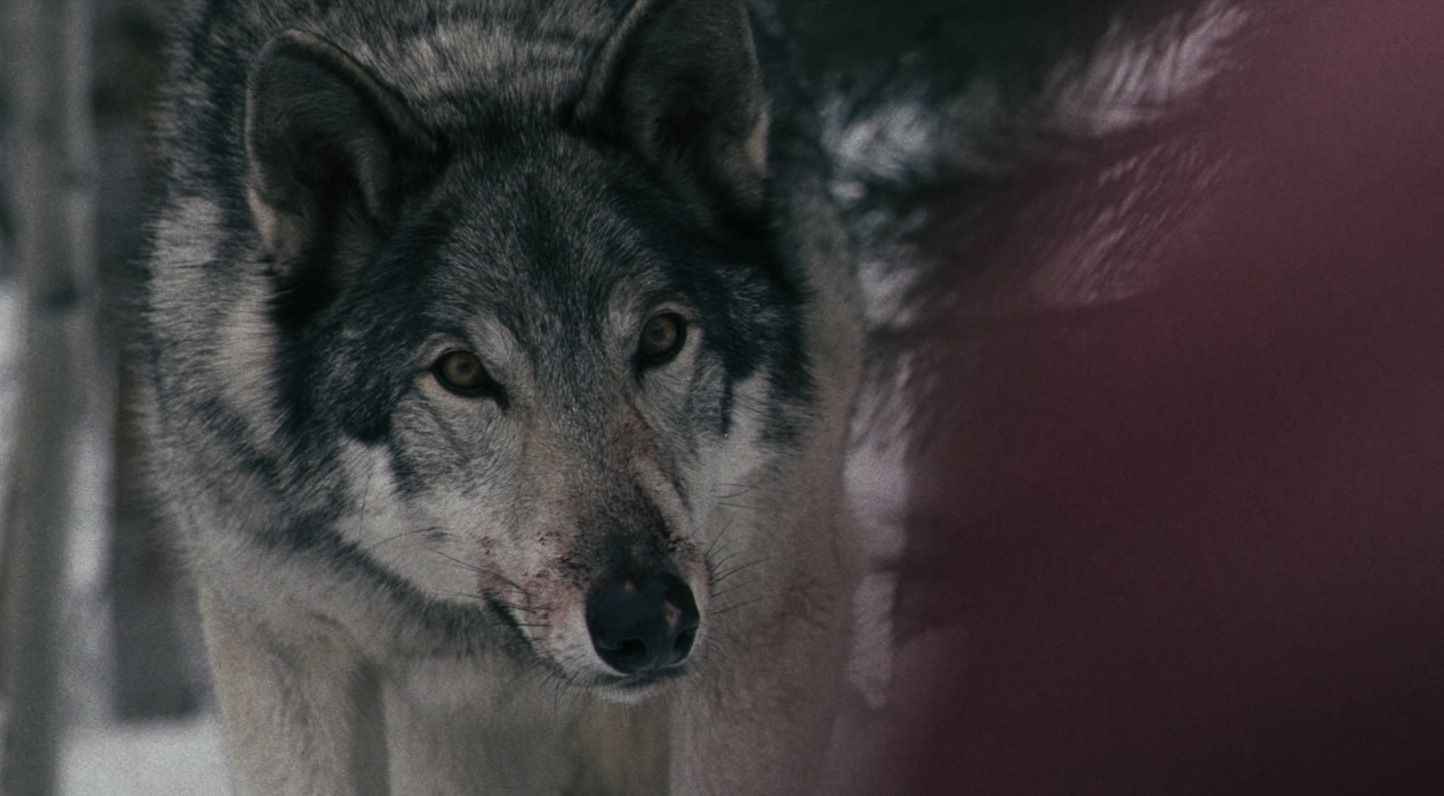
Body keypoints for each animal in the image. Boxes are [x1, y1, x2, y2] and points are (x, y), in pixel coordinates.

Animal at [136, 0, 863, 793]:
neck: (478, 57)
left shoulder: (768, 609)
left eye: (662, 335)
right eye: (462, 372)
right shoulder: (286, 644)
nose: (646, 620)